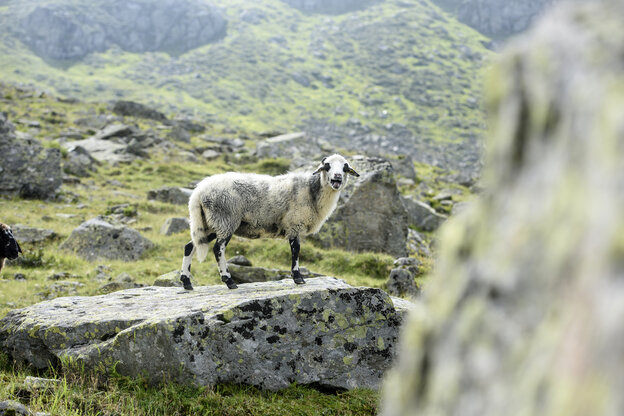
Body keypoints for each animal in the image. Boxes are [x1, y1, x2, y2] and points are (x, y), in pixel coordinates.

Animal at [178, 154, 358, 290]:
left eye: (345, 167)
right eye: (327, 166)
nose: (337, 178)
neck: (312, 191)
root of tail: (198, 192)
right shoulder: (294, 224)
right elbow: (296, 251)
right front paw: (298, 278)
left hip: (208, 223)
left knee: (190, 245)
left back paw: (187, 282)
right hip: (225, 219)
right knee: (218, 249)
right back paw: (229, 281)